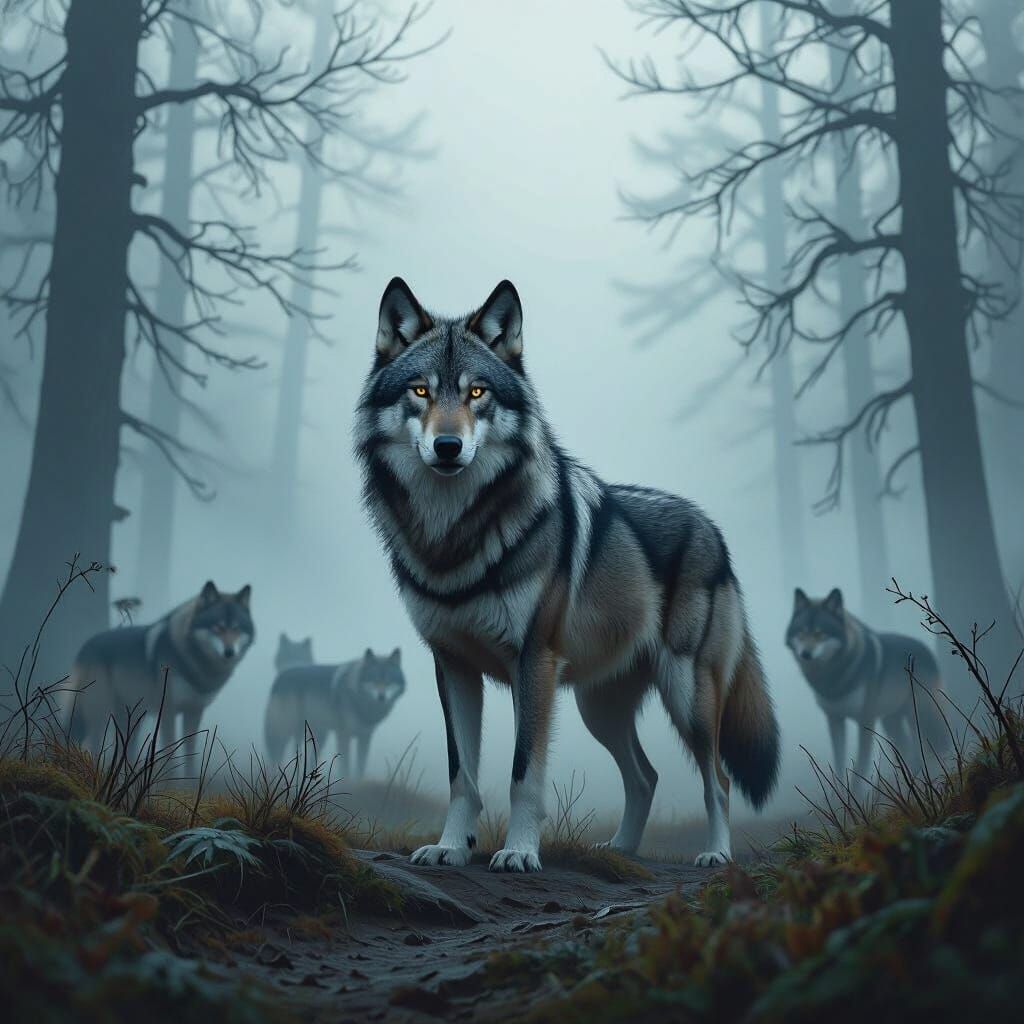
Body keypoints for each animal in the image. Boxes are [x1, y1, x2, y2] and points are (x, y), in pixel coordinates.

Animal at [65, 581, 254, 767]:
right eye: (217, 627)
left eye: (236, 628)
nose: (229, 652)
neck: (192, 659)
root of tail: (86, 646)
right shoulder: (168, 712)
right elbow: (170, 754)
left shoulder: (194, 712)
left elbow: (190, 757)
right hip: (100, 716)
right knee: (94, 747)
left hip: (130, 719)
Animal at [263, 647, 405, 778]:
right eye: (374, 680)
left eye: (389, 681)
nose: (382, 697)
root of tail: (280, 676)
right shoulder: (343, 735)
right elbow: (346, 765)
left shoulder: (365, 736)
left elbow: (360, 766)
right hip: (283, 730)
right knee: (276, 754)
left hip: (315, 734)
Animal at [354, 277, 780, 872]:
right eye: (420, 391)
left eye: (477, 393)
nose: (448, 446)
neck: (454, 535)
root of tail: (711, 528)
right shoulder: (453, 666)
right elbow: (463, 775)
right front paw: (450, 847)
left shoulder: (533, 663)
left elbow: (523, 774)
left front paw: (518, 852)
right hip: (596, 707)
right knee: (646, 776)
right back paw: (620, 850)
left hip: (686, 696)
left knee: (715, 779)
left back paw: (716, 854)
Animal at [786, 588, 946, 787]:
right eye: (801, 632)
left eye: (820, 633)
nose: (805, 654)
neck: (833, 676)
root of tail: (928, 651)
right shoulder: (834, 718)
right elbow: (839, 763)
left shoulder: (866, 720)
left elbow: (860, 768)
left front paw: (856, 794)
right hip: (891, 721)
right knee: (909, 751)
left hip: (918, 715)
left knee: (929, 748)